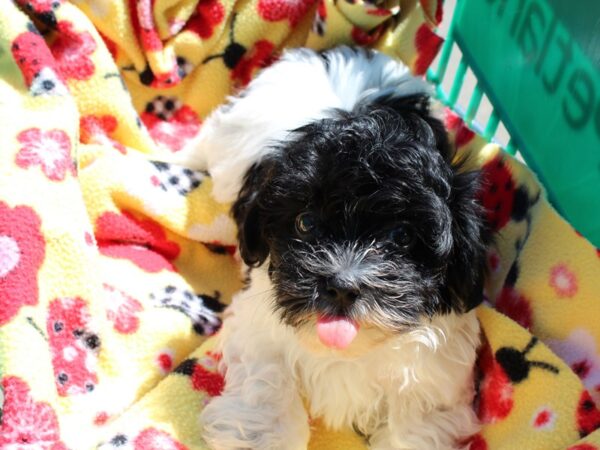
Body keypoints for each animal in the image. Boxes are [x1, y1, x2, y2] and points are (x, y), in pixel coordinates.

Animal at [177, 46, 488, 450]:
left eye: (401, 237)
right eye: (306, 223)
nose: (342, 286)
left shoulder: (437, 368)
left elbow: (415, 422)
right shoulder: (258, 331)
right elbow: (269, 383)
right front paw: (264, 437)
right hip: (232, 140)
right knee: (213, 135)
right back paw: (182, 157)